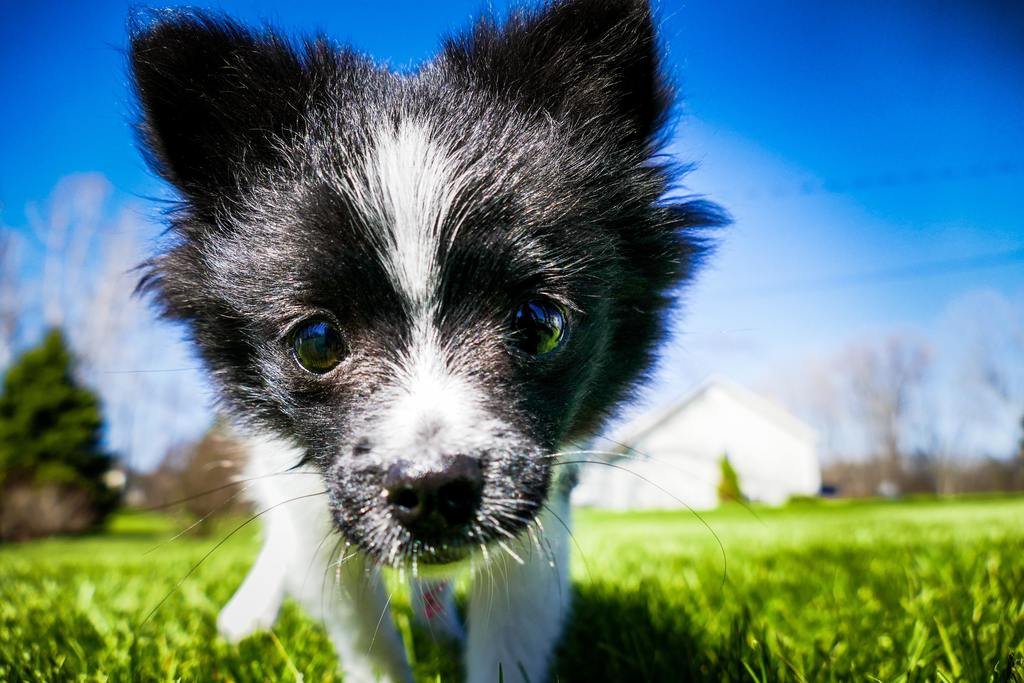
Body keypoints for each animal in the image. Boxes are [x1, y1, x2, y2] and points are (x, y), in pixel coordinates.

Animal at [128, 1, 720, 679]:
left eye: (540, 324)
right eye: (316, 342)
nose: (434, 486)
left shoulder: (542, 499)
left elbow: (508, 637)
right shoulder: (311, 494)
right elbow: (362, 632)